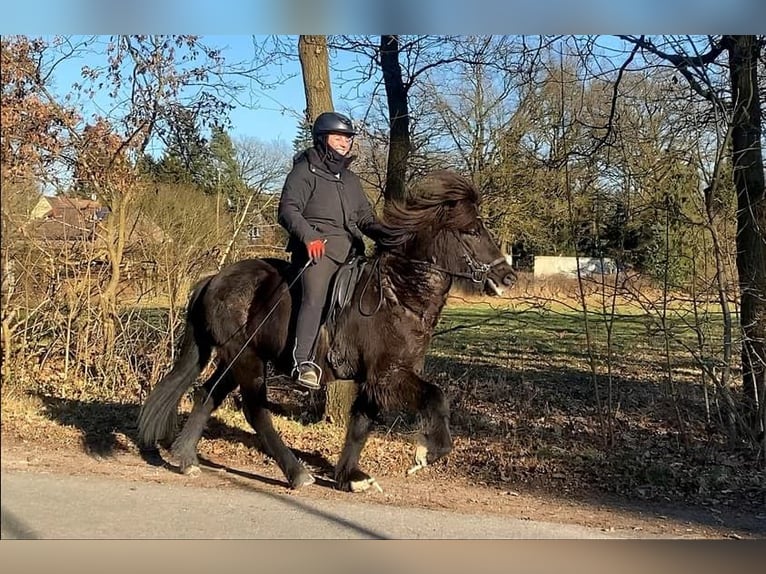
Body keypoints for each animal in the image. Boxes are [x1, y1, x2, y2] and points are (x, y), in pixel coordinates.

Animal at [140, 171, 516, 496]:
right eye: (472, 230)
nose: (508, 277)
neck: (399, 294)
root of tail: (214, 279)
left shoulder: (373, 379)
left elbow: (361, 425)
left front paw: (351, 477)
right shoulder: (389, 374)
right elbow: (436, 397)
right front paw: (426, 453)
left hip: (235, 359)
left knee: (207, 395)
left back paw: (186, 459)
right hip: (247, 360)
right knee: (255, 410)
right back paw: (297, 473)